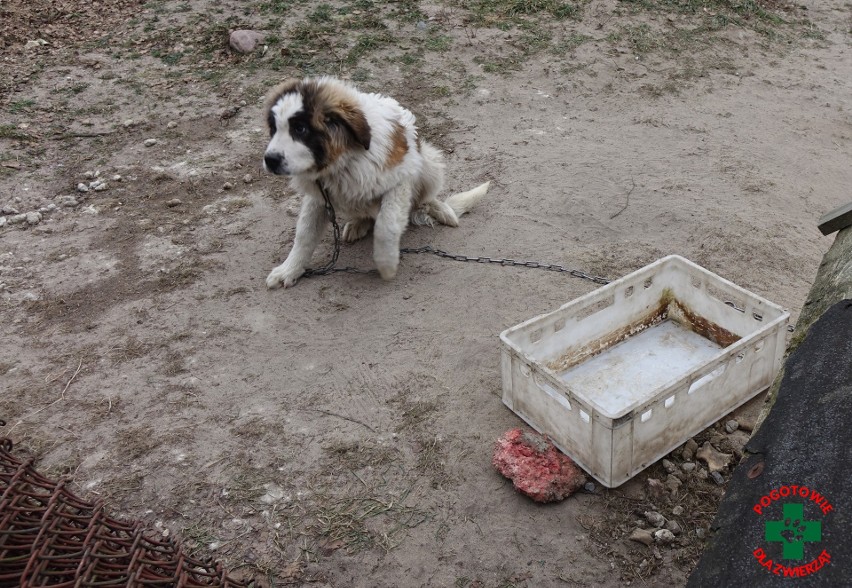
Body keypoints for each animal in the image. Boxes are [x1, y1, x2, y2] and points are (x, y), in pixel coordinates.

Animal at [262, 77, 486, 288]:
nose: (270, 160)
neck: (342, 160)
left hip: (428, 163)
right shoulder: (319, 196)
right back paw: (358, 223)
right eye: (273, 128)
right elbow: (304, 234)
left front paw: (386, 264)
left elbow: (386, 226)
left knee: (424, 199)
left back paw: (442, 210)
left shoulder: (401, 179)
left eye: (300, 129)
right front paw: (289, 270)